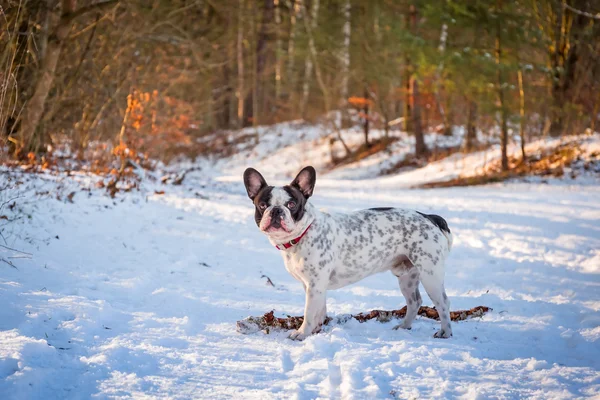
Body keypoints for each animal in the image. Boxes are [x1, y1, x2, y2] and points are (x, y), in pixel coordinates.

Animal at [241, 166, 452, 340]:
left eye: (291, 204)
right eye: (262, 205)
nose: (276, 211)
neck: (303, 233)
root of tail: (429, 217)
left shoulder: (315, 286)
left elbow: (309, 312)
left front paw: (302, 333)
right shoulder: (314, 286)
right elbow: (319, 310)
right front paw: (316, 331)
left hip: (430, 275)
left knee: (443, 303)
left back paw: (445, 332)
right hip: (407, 276)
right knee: (414, 302)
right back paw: (403, 327)